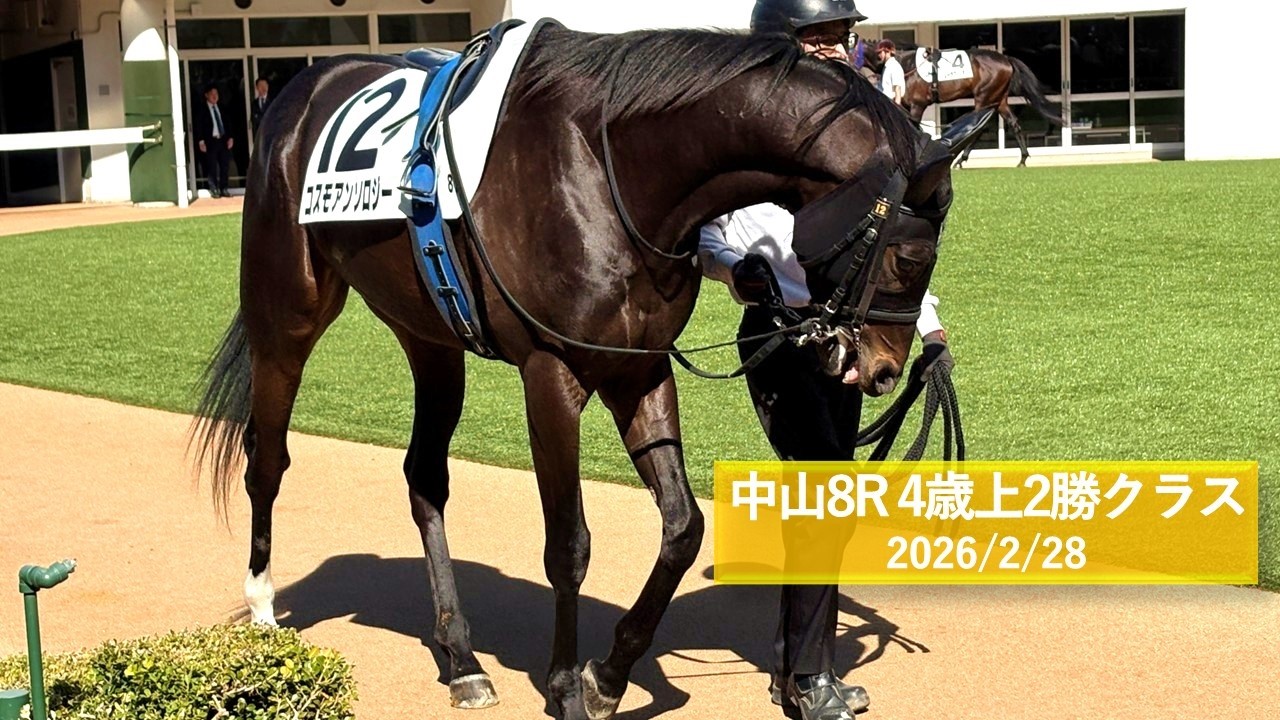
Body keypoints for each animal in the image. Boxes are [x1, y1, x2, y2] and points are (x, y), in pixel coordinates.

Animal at [191, 20, 958, 720]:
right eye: (910, 257)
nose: (885, 368)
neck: (611, 168)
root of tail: (302, 85)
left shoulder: (638, 371)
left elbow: (683, 529)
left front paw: (610, 675)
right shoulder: (551, 374)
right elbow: (568, 544)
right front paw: (564, 687)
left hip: (429, 336)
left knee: (424, 475)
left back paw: (461, 658)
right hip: (285, 316)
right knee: (267, 457)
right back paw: (264, 611)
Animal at [861, 40, 1065, 167]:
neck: (905, 64)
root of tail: (1006, 59)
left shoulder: (917, 105)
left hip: (984, 98)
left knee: (980, 127)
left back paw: (961, 159)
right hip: (999, 99)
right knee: (1013, 123)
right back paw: (1022, 159)